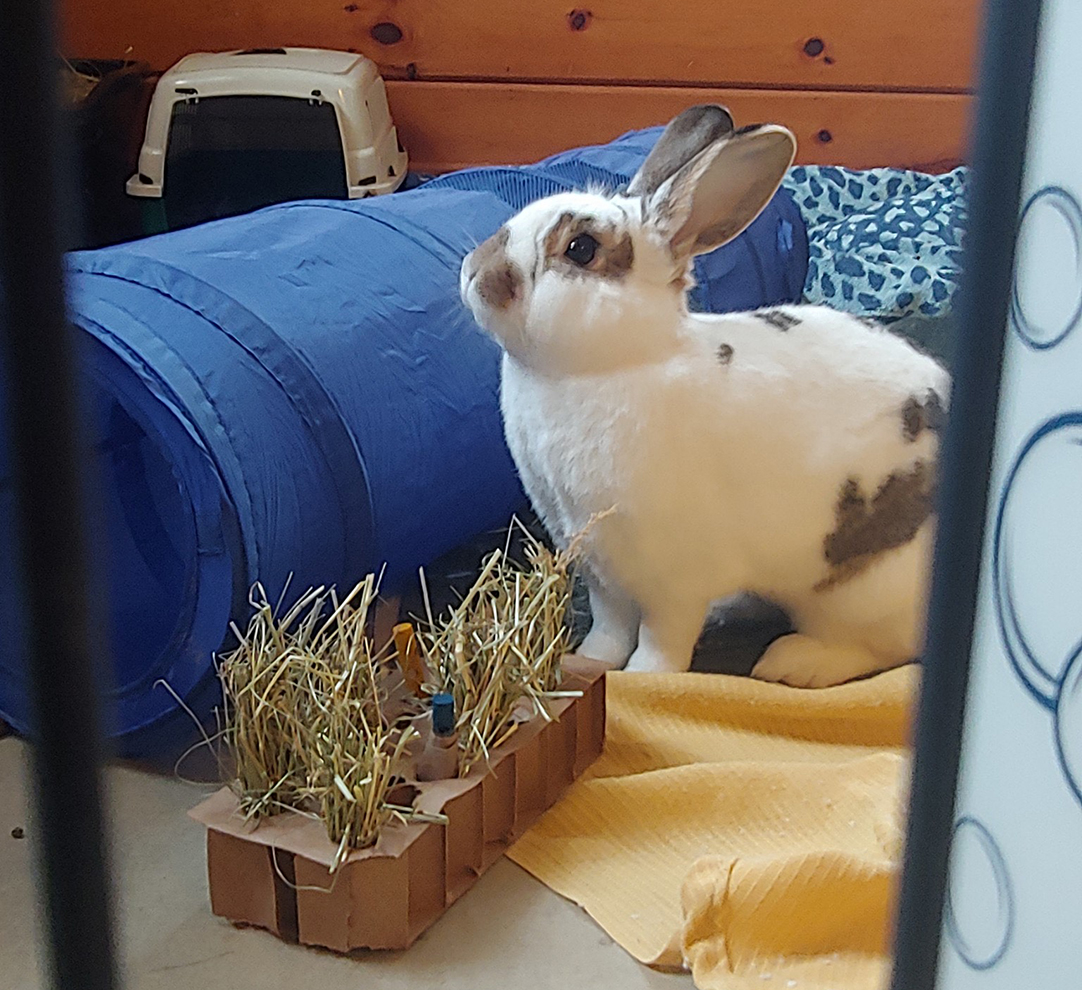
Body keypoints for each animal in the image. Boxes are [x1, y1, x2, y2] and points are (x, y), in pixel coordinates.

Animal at [456, 104, 947, 683]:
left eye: (581, 249)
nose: (474, 273)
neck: (601, 367)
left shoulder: (673, 581)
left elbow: (661, 637)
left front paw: (642, 679)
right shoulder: (600, 569)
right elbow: (609, 624)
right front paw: (587, 662)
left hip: (858, 596)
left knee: (879, 650)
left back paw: (793, 663)